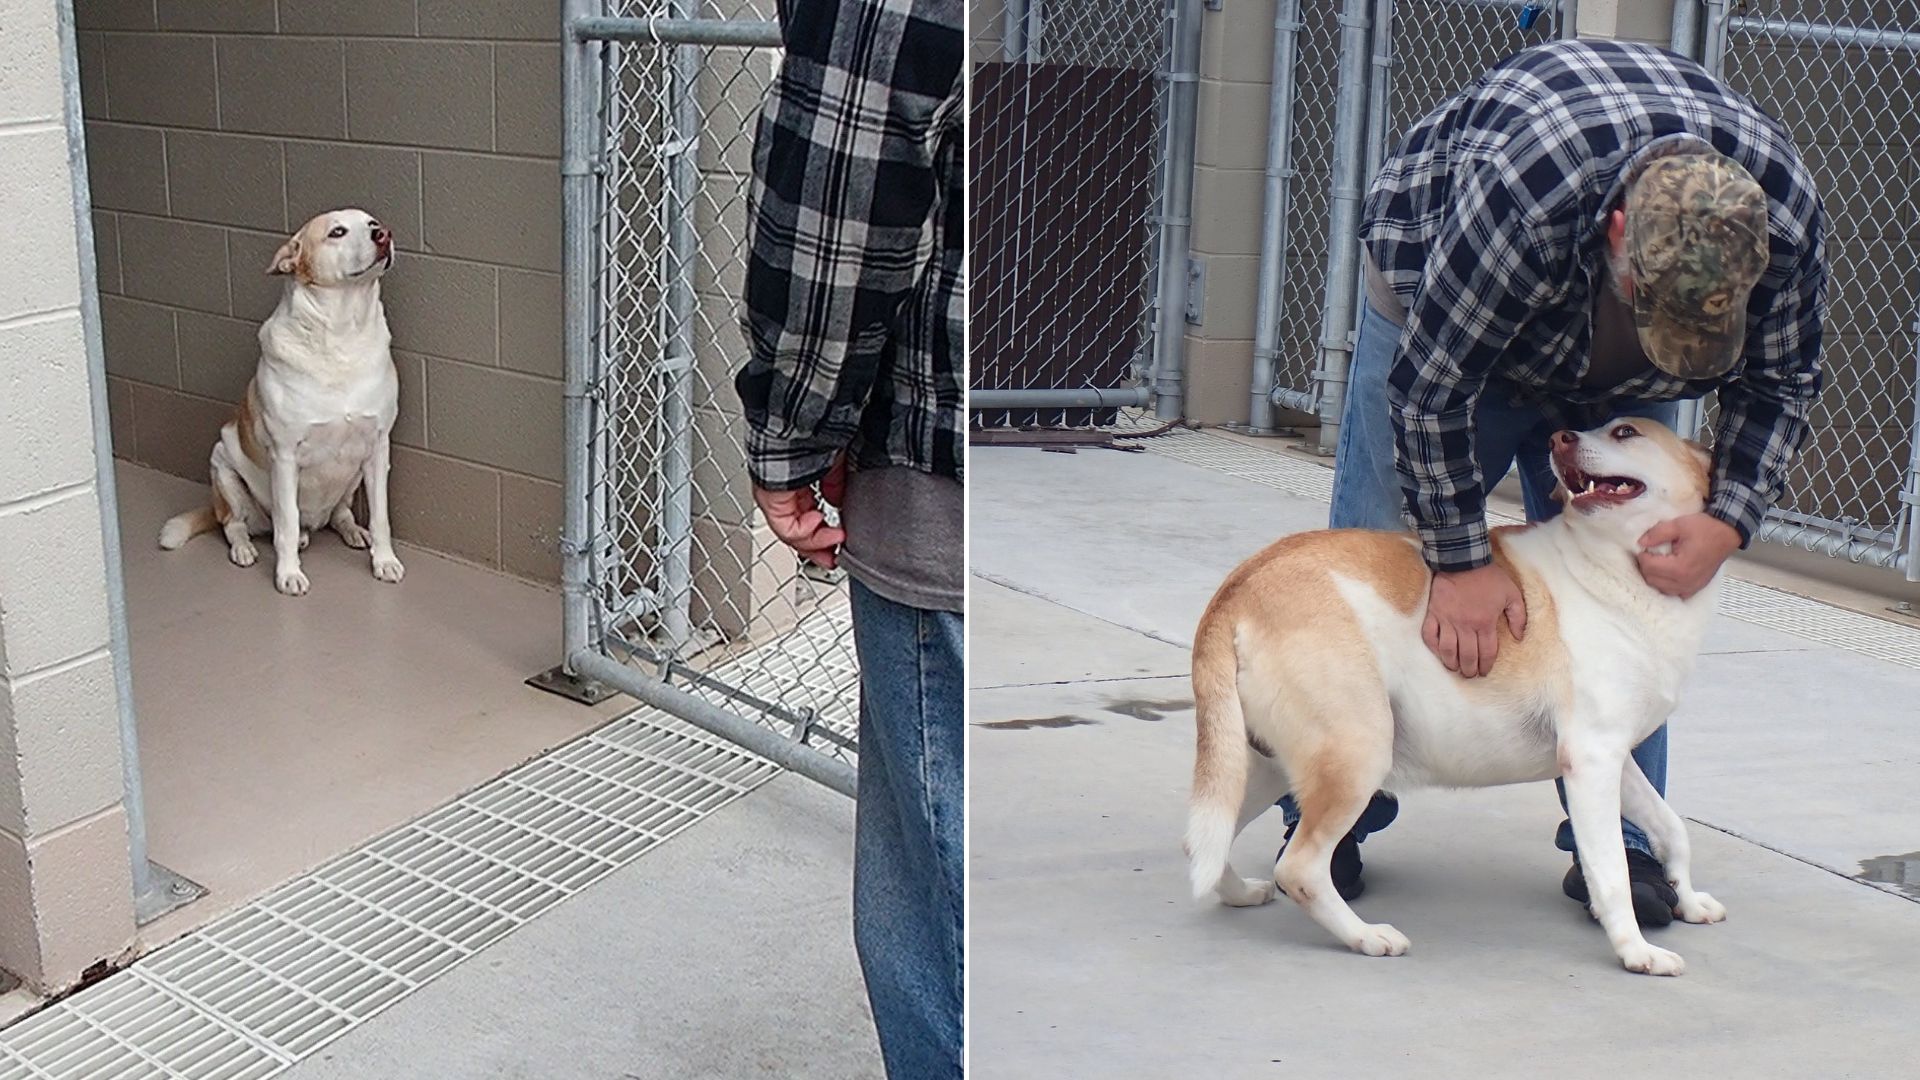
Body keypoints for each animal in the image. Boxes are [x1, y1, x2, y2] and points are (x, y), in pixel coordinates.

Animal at [158, 205, 408, 591]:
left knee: (340, 514)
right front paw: (288, 573)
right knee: (235, 525)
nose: (384, 234)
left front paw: (384, 561)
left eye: (371, 223)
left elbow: (381, 516)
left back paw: (352, 531)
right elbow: (286, 523)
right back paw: (246, 549)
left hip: (352, 478)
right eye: (337, 232)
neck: (343, 336)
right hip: (223, 467)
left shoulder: (379, 448)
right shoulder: (285, 455)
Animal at [1182, 417, 1728, 972]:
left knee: (1206, 841)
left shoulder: (1615, 759)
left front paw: (1687, 900)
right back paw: (1366, 936)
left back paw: (1241, 893)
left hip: (1262, 768)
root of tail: (1240, 588)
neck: (1616, 567)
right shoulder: (1591, 761)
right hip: (1358, 754)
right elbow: (1612, 872)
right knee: (1300, 869)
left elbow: (1671, 827)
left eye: (1623, 431)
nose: (1559, 438)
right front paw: (1637, 951)